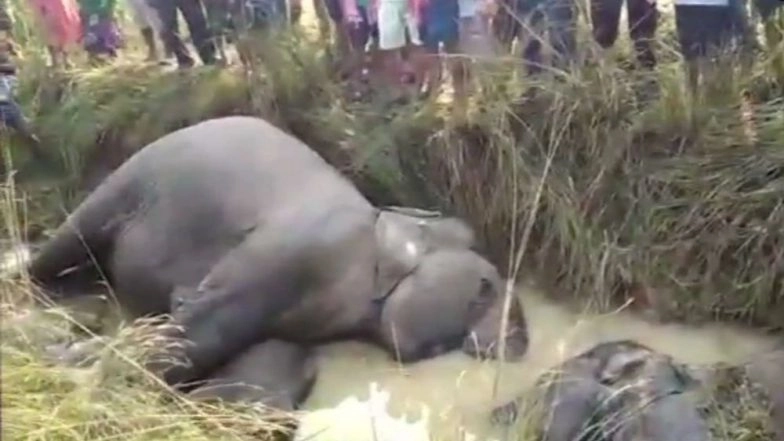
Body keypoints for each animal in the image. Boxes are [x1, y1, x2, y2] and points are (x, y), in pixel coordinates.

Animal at [26, 115, 529, 399]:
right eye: (484, 288)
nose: (517, 344)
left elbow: (266, 357)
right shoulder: (304, 245)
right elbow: (198, 323)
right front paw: (76, 371)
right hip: (128, 179)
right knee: (61, 249)